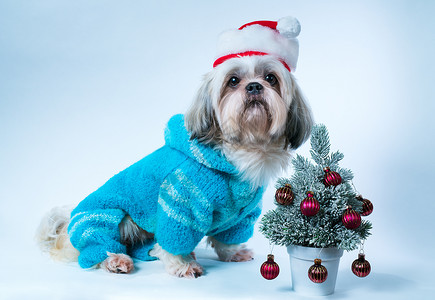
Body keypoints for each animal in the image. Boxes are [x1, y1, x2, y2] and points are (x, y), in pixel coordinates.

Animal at [35, 16, 314, 278]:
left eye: (271, 78)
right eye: (233, 80)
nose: (254, 86)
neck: (240, 152)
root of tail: (68, 226)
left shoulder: (242, 215)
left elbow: (226, 238)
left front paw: (232, 253)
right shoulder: (181, 202)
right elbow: (174, 240)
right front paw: (183, 265)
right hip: (108, 217)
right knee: (98, 247)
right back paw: (116, 260)